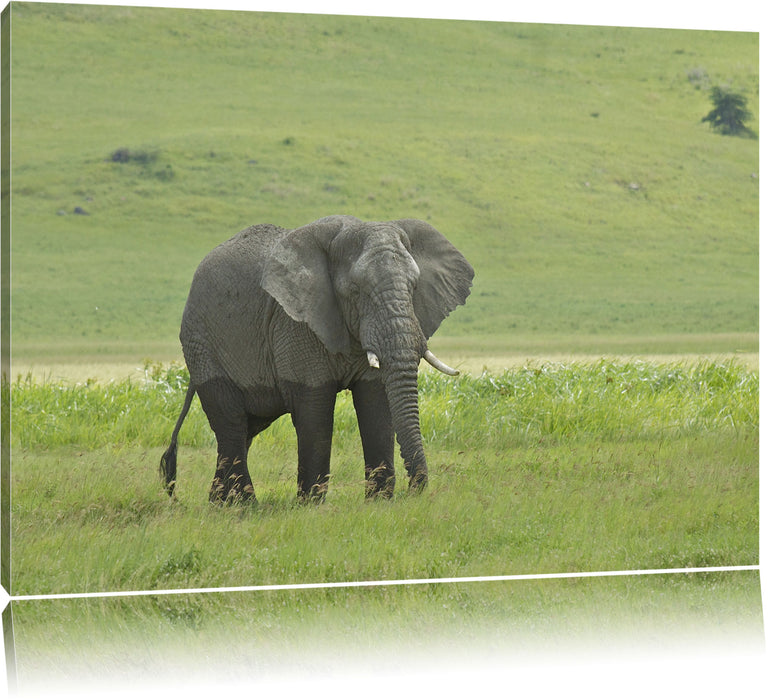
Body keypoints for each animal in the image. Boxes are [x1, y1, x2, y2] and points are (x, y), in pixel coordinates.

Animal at [159, 213, 472, 504]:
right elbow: (314, 408)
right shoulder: (294, 323)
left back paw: (220, 505)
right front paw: (311, 504)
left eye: (414, 287)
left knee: (247, 428)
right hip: (203, 344)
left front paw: (378, 501)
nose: (415, 490)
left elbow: (376, 403)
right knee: (231, 425)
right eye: (355, 291)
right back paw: (244, 506)